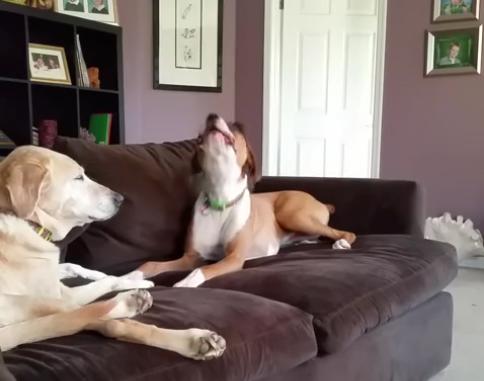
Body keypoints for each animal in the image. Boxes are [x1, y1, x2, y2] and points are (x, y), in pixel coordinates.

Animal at [136, 114, 356, 286]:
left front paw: (182, 284)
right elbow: (151, 263)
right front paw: (131, 277)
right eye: (199, 136)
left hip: (292, 215)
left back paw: (341, 243)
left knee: (346, 232)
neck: (220, 197)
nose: (211, 116)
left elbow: (201, 270)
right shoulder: (191, 257)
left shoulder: (234, 258)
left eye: (235, 127)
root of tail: (320, 201)